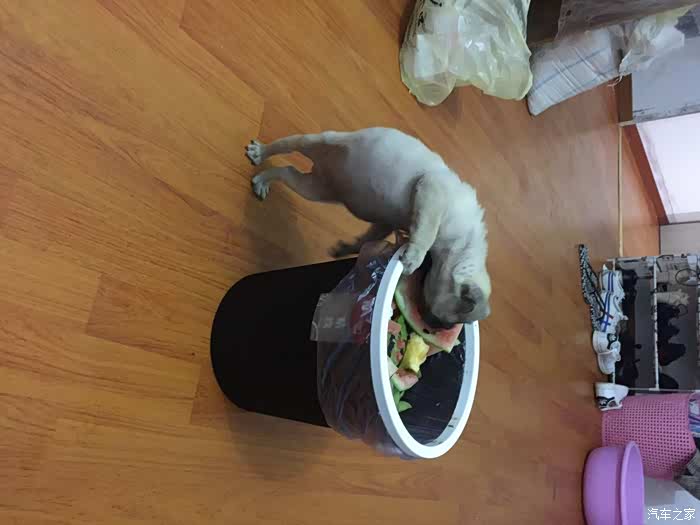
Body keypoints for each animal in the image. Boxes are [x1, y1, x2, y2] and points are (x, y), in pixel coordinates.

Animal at [246, 127, 491, 325]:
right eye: (443, 321)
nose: (433, 327)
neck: (463, 249)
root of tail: (322, 166)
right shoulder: (432, 191)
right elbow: (426, 233)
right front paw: (415, 257)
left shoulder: (386, 223)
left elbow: (369, 239)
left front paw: (347, 249)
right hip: (319, 141)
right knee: (286, 145)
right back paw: (260, 155)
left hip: (315, 190)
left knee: (287, 171)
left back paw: (265, 178)